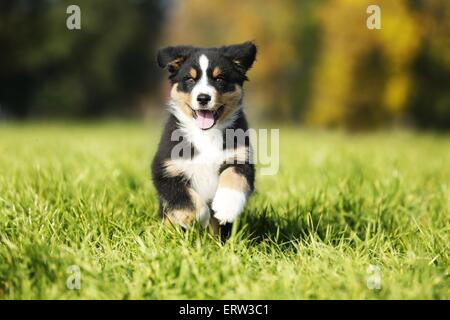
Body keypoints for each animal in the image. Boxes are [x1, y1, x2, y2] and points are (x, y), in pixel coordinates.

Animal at [152, 41, 255, 239]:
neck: (206, 134)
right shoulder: (165, 170)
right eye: (190, 80)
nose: (203, 98)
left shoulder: (241, 157)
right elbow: (187, 200)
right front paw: (201, 219)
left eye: (220, 79)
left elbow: (235, 175)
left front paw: (226, 206)